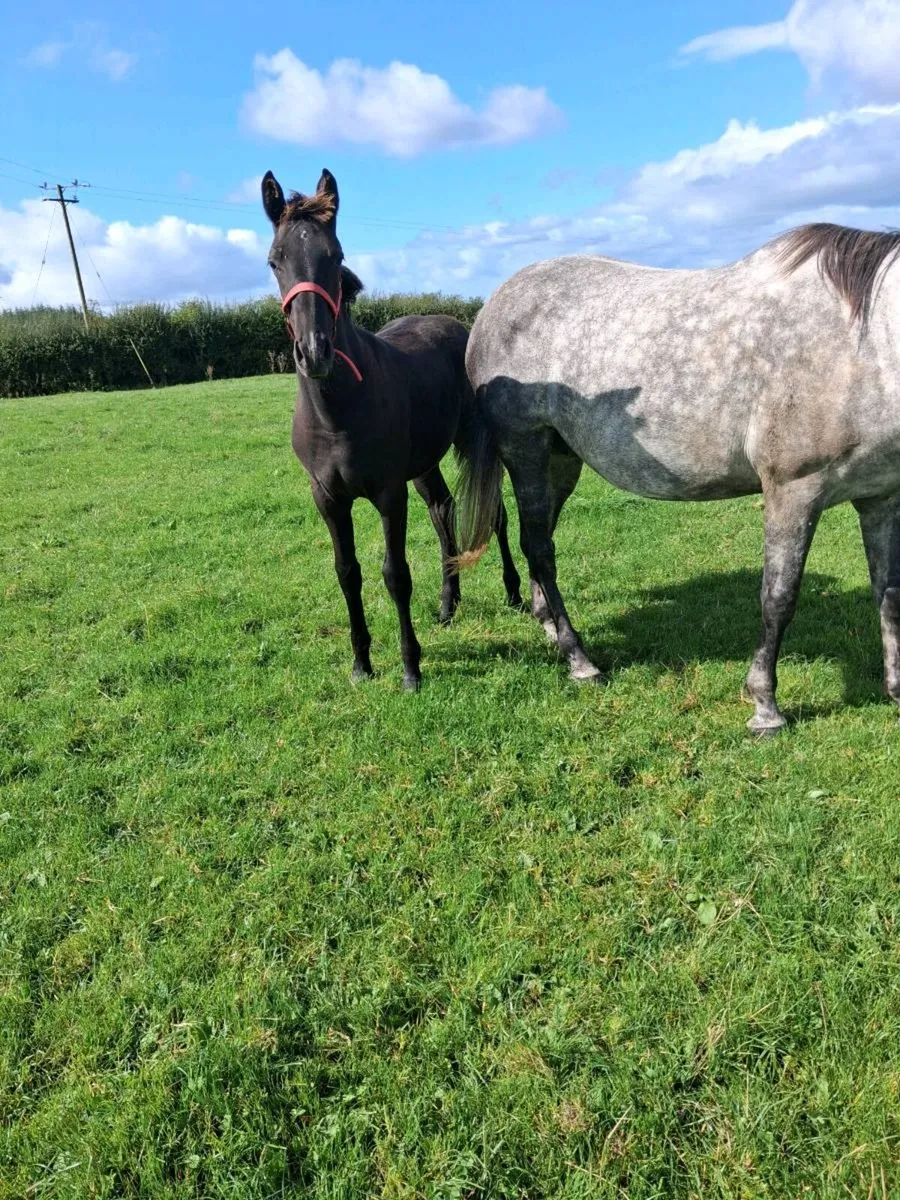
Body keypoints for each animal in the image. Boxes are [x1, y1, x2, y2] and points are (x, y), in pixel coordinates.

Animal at [261, 168, 522, 690]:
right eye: (275, 261)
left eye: (335, 255)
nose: (314, 352)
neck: (337, 414)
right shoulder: (327, 497)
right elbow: (348, 572)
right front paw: (361, 663)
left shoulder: (387, 492)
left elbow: (395, 573)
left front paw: (410, 668)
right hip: (422, 463)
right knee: (443, 508)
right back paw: (448, 604)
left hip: (472, 442)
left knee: (496, 513)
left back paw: (514, 592)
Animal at [455, 224, 900, 732]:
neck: (864, 346)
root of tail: (492, 306)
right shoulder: (793, 491)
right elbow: (779, 597)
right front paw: (765, 706)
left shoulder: (881, 497)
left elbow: (888, 593)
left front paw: (895, 690)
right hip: (524, 448)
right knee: (539, 549)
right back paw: (579, 659)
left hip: (560, 460)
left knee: (539, 538)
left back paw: (550, 628)